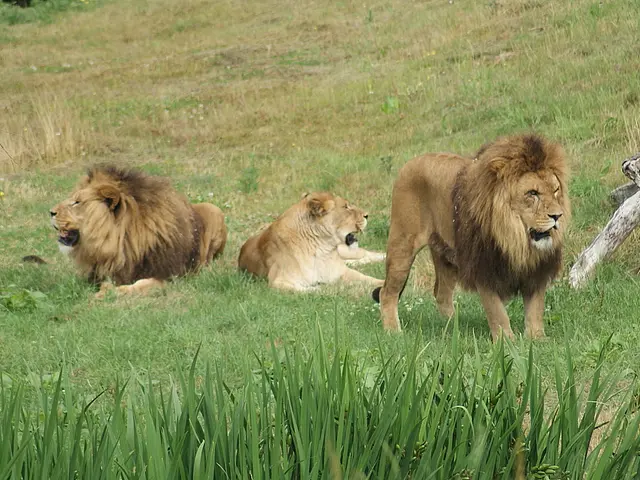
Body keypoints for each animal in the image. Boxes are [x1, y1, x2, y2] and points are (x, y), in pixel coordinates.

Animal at [50, 165, 228, 297]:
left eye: (77, 202)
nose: (50, 212)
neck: (121, 243)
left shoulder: (170, 276)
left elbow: (142, 284)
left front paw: (108, 293)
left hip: (214, 211)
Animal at [238, 192, 385, 291]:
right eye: (345, 207)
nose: (367, 215)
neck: (321, 249)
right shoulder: (278, 281)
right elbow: (311, 289)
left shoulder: (342, 271)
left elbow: (369, 279)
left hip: (346, 251)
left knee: (367, 253)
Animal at [372, 134, 570, 341]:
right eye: (532, 193)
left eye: (556, 190)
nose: (558, 216)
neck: (516, 238)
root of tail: (411, 162)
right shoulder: (484, 267)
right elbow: (497, 312)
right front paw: (506, 341)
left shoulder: (538, 268)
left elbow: (535, 309)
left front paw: (537, 339)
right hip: (402, 245)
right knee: (387, 292)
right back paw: (393, 332)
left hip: (446, 256)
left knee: (441, 294)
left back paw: (454, 329)